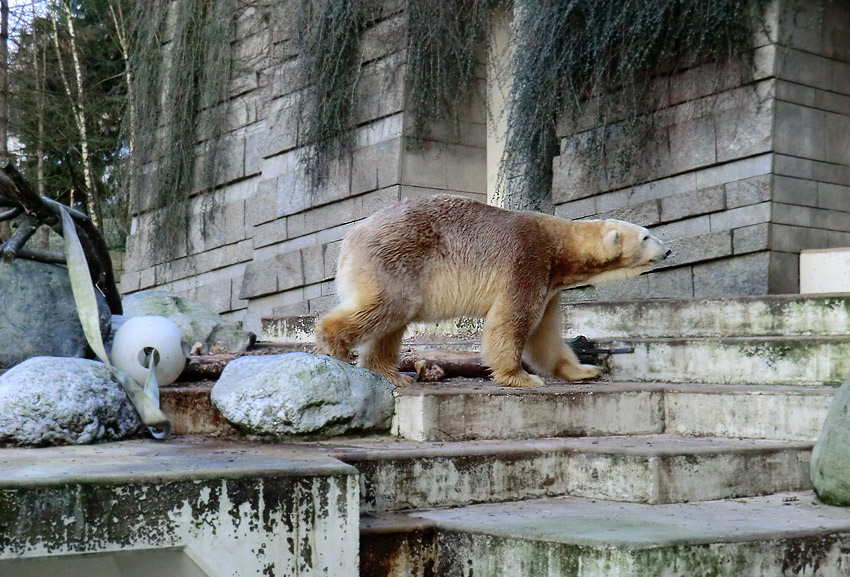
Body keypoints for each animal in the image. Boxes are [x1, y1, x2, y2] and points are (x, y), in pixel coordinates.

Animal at [314, 194, 664, 388]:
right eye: (647, 236)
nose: (668, 249)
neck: (560, 244)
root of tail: (350, 237)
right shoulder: (528, 260)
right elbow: (511, 320)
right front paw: (521, 377)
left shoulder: (550, 285)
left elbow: (546, 337)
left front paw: (583, 370)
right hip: (396, 257)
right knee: (390, 306)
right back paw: (335, 346)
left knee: (392, 321)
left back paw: (390, 373)